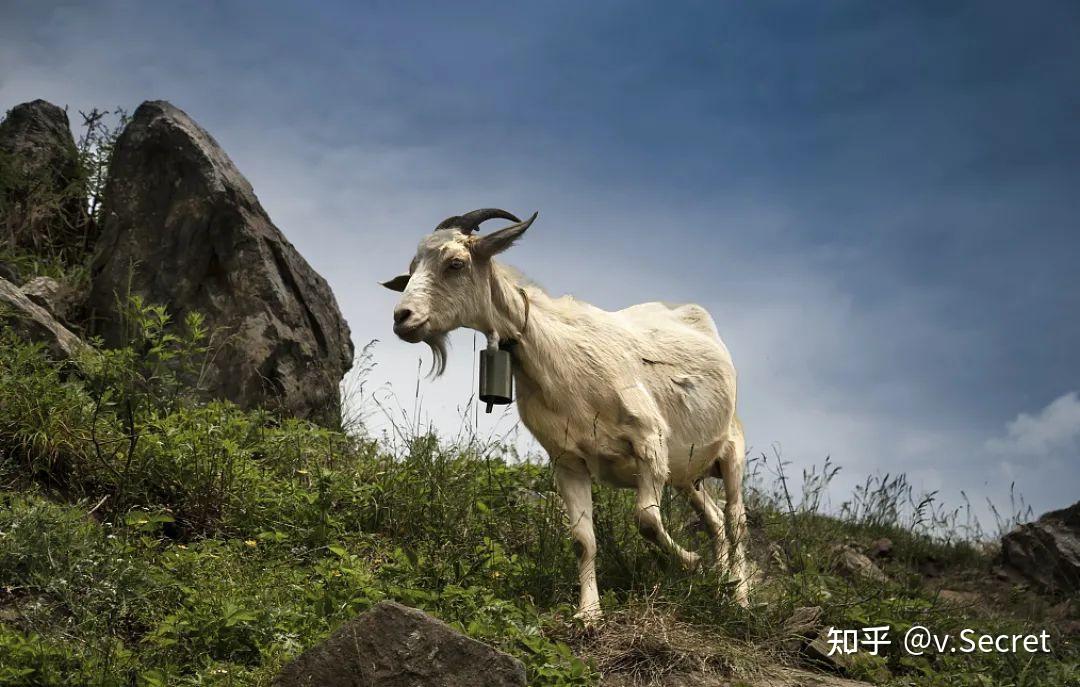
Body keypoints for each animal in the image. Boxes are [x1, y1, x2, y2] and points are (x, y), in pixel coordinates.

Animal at [382, 209, 751, 617]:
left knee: (735, 519)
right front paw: (589, 613)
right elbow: (582, 539)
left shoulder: (649, 441)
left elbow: (646, 519)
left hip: (732, 449)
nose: (402, 317)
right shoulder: (568, 460)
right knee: (714, 518)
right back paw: (722, 585)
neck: (557, 354)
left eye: (455, 263)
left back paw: (740, 597)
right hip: (688, 472)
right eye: (412, 269)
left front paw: (689, 561)